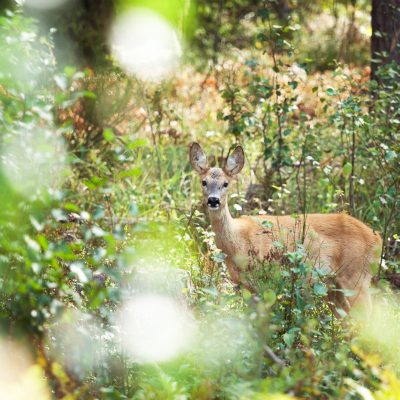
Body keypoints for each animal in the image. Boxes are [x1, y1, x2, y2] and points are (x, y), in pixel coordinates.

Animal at [189, 143, 382, 316]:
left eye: (226, 183)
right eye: (204, 182)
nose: (213, 200)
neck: (238, 242)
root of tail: (377, 238)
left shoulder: (265, 280)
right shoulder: (246, 286)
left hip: (357, 277)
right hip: (332, 287)